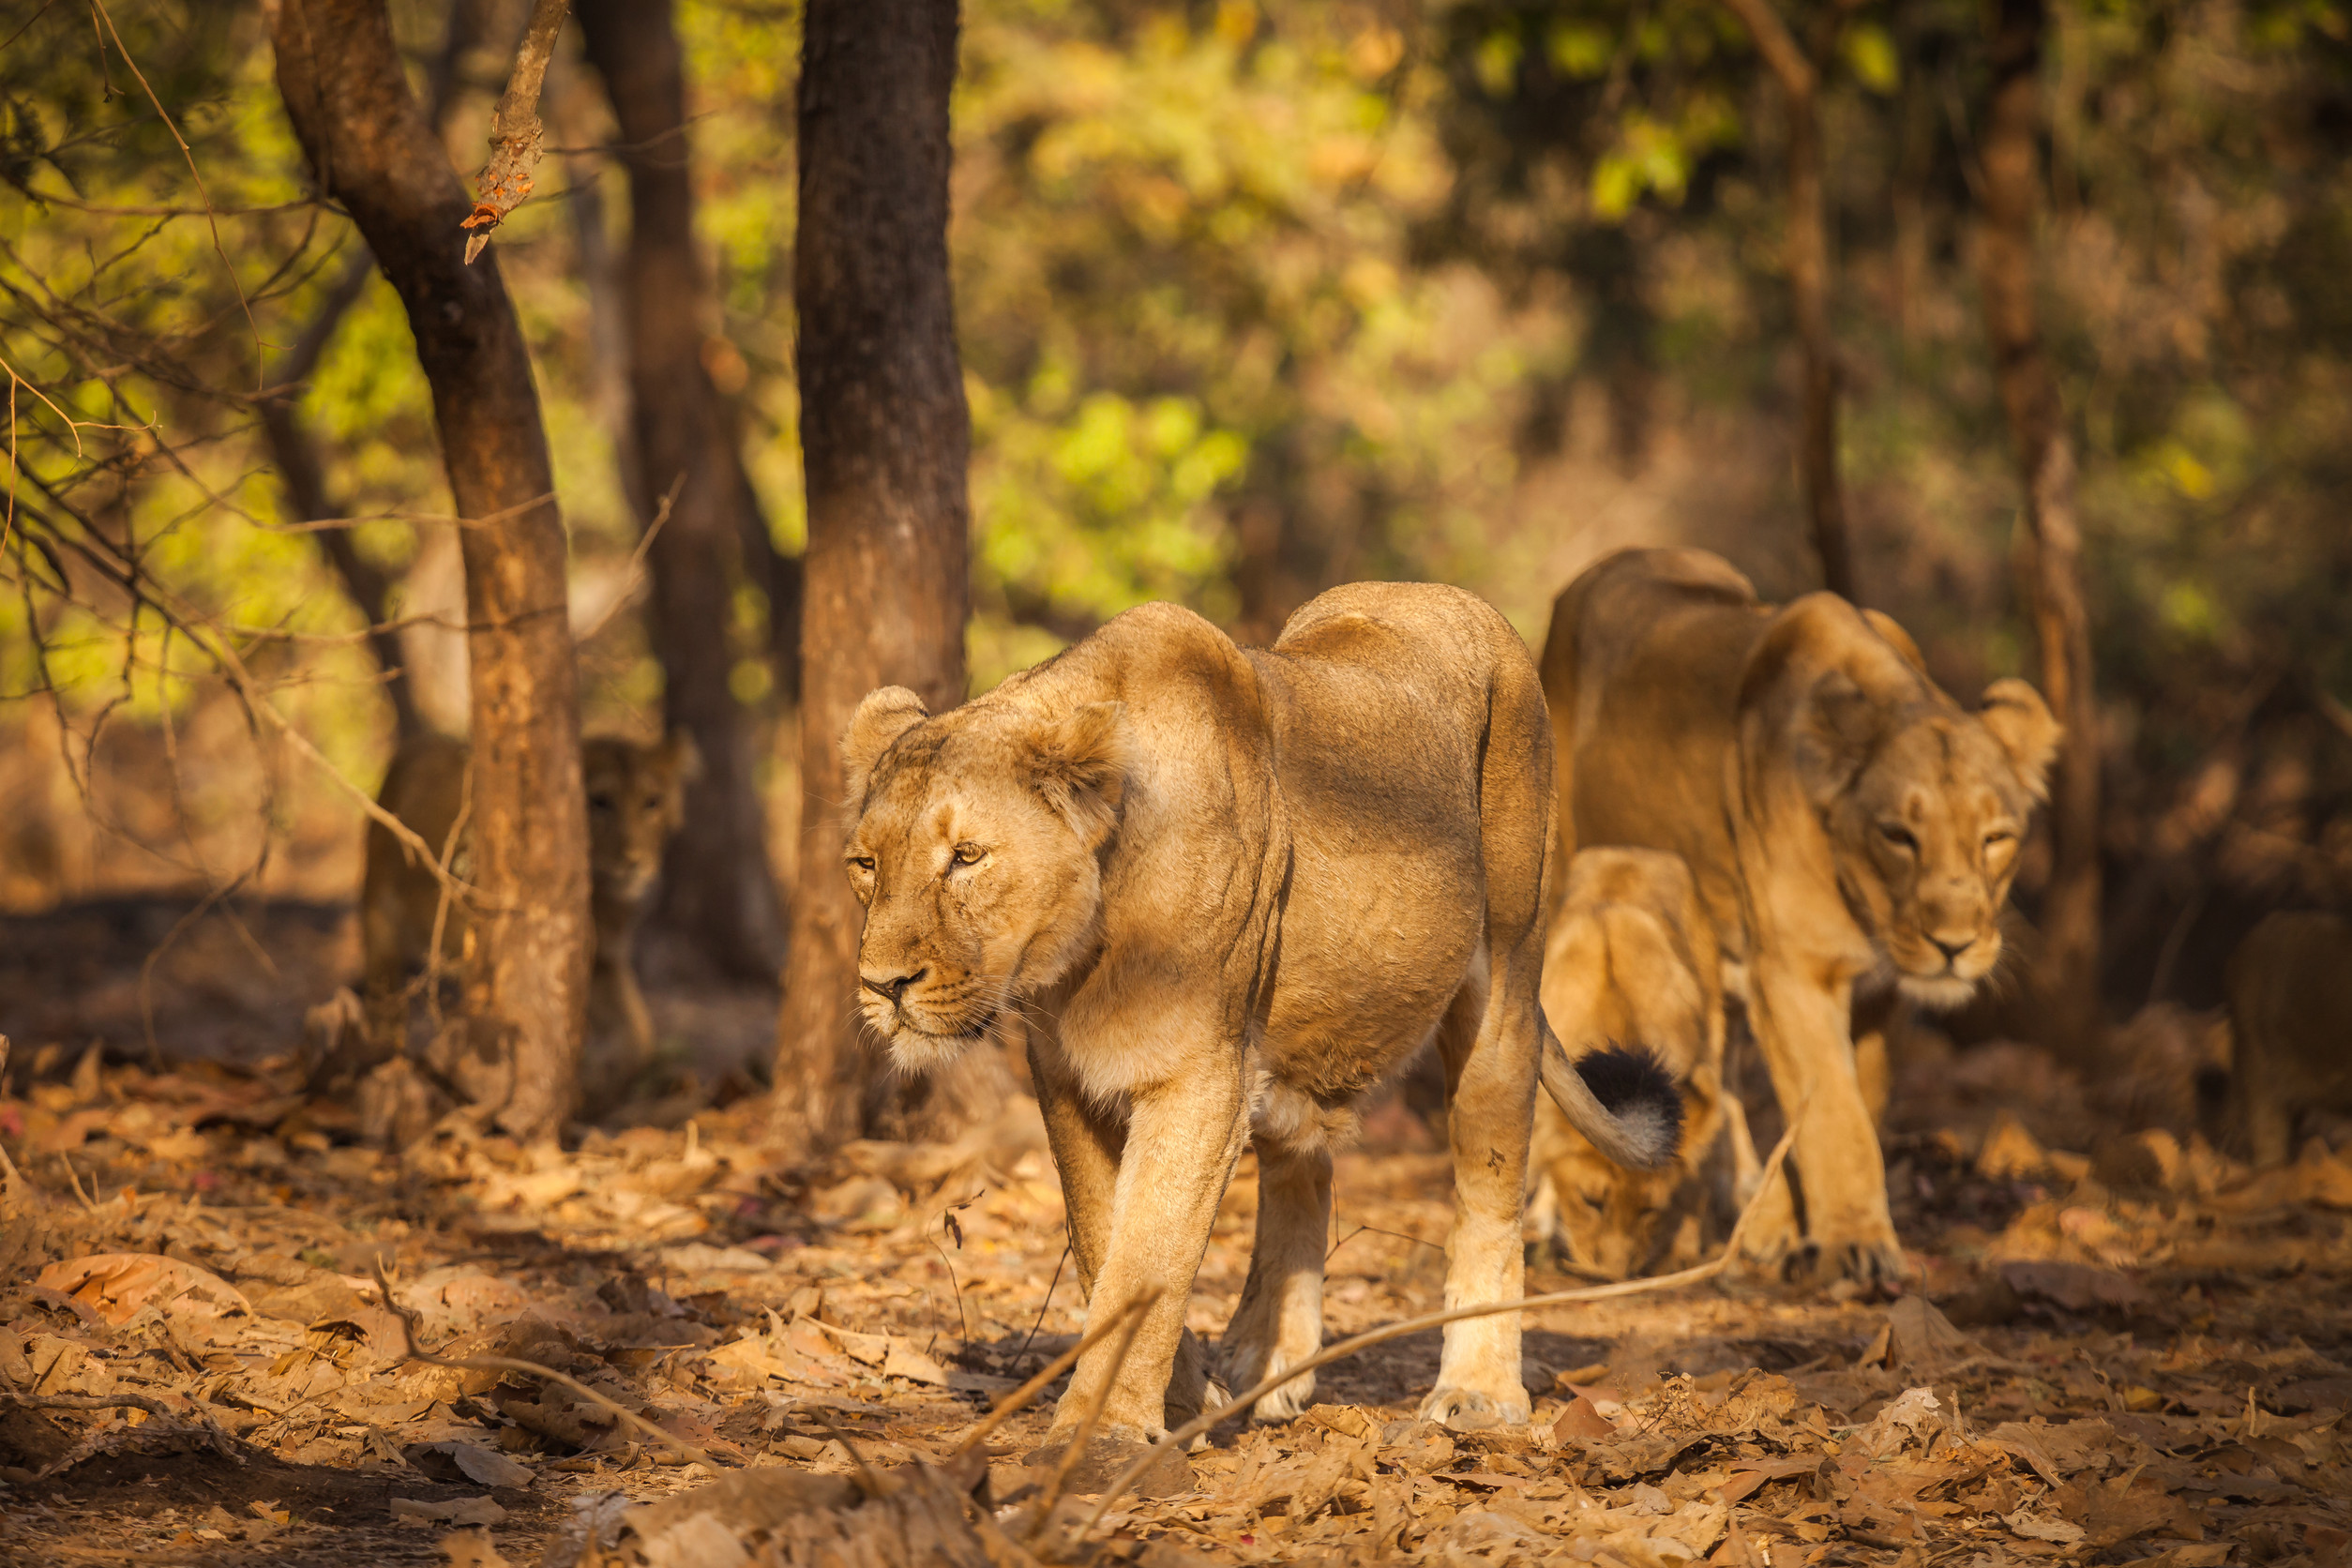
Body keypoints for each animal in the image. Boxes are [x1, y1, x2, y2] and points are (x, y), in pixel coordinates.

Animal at [348, 729, 696, 1114]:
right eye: (600, 802)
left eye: (652, 803)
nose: (634, 860)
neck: (603, 896)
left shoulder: (605, 960)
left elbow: (641, 1035)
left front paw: (595, 1094)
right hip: (381, 925)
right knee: (386, 1008)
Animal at [837, 585, 1683, 1485]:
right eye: (865, 864)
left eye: (966, 857)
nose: (883, 985)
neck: (1085, 944)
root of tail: (1444, 594)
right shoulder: (1065, 1073)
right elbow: (1103, 1241)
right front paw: (1182, 1401)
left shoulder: (1200, 1072)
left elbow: (1150, 1256)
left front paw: (1101, 1438)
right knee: (1302, 1166)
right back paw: (1266, 1358)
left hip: (1507, 974)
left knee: (1488, 1185)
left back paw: (1480, 1392)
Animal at [1524, 851, 1749, 1278]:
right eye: (1591, 1202)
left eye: (1648, 1210)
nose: (1610, 1276)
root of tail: (1633, 851)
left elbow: (1697, 1170)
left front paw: (1685, 1248)